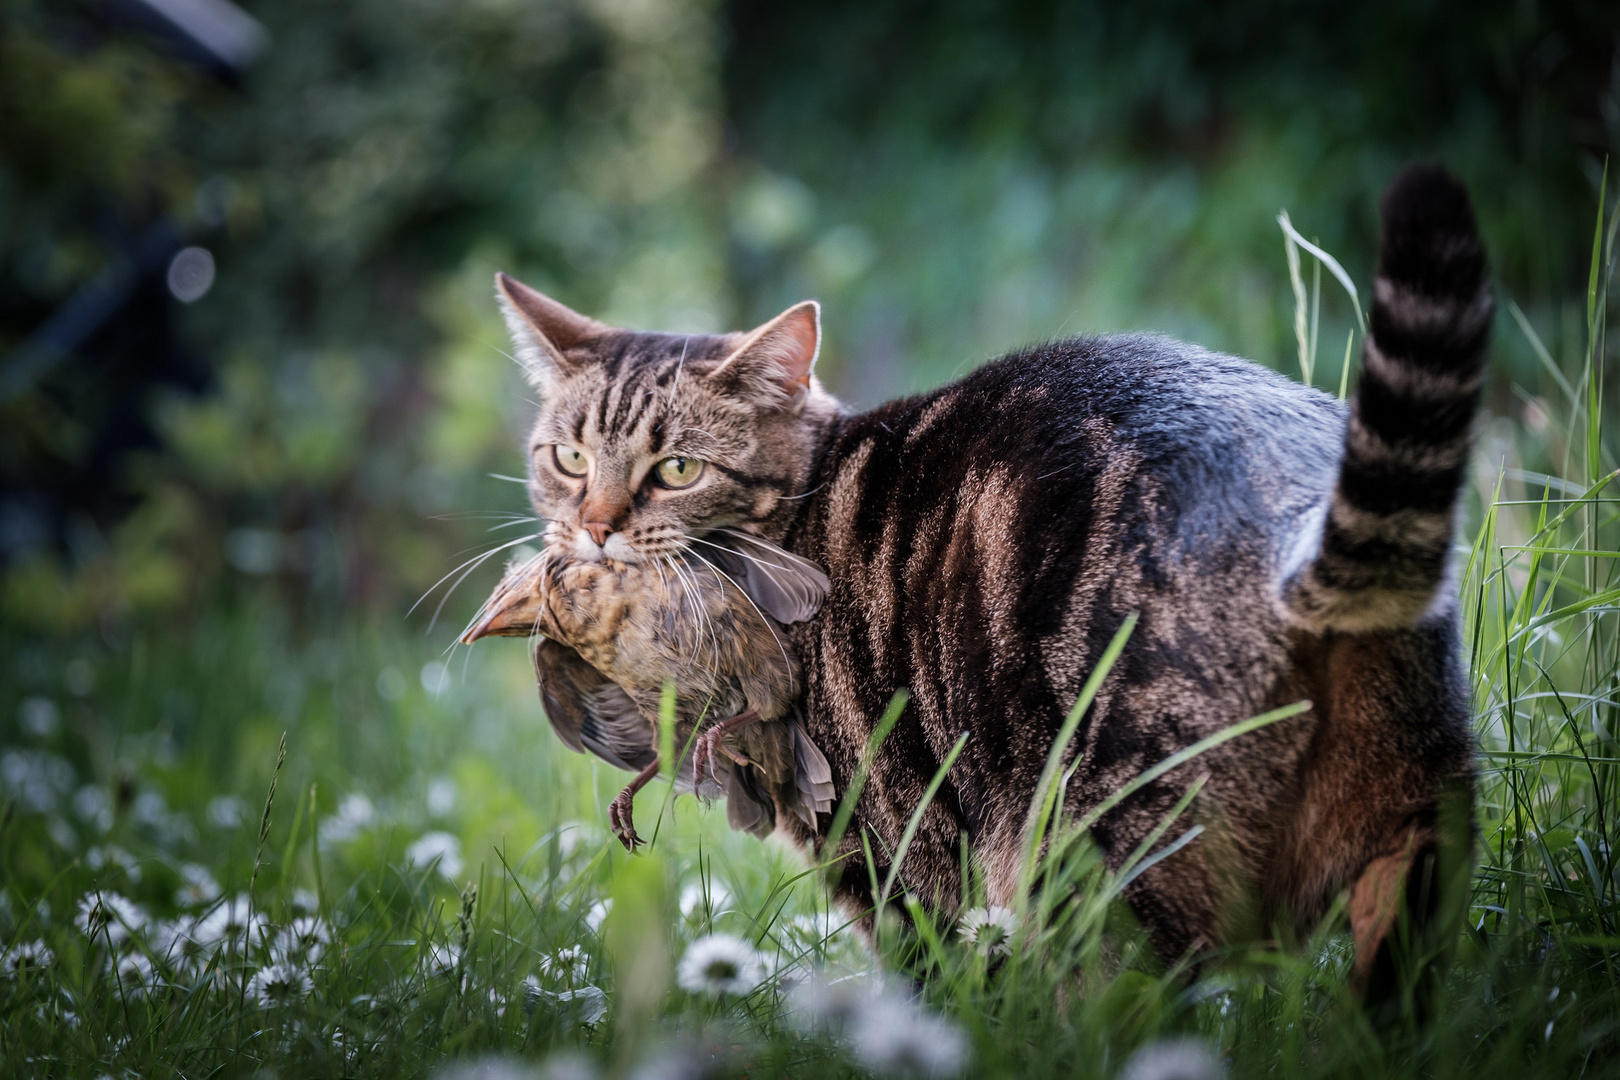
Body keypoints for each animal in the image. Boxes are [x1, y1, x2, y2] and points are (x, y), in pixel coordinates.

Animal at [482, 165, 1490, 1003]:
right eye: (570, 459)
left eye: (679, 469)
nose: (596, 526)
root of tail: (1297, 517)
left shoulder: (894, 850)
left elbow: (946, 991)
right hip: (1413, 847)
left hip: (1108, 860)